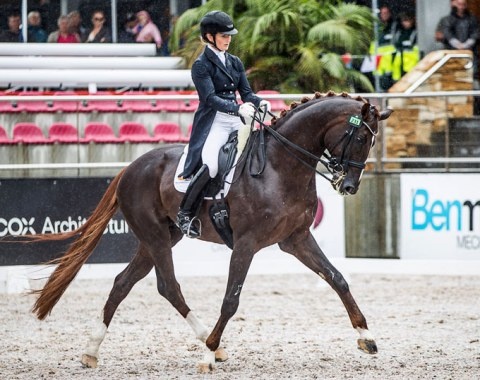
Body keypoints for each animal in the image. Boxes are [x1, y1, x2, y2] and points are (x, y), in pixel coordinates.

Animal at [30, 92, 392, 372]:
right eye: (361, 138)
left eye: (373, 140)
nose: (348, 186)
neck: (280, 167)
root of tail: (130, 168)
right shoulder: (247, 243)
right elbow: (231, 299)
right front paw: (206, 356)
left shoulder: (296, 239)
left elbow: (337, 278)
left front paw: (367, 337)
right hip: (155, 237)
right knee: (168, 286)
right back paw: (209, 345)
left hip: (162, 237)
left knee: (124, 283)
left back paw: (91, 351)